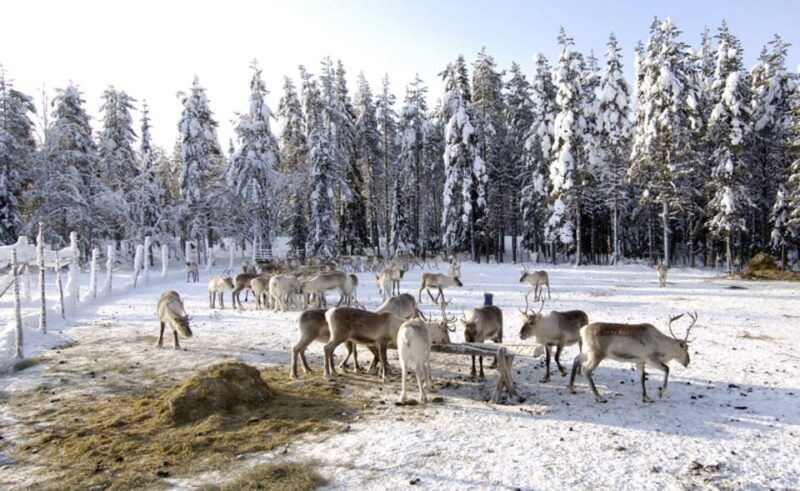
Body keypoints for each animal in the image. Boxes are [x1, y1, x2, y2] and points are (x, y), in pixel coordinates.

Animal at [569, 312, 697, 403]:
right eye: (686, 348)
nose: (688, 361)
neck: (662, 345)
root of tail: (582, 330)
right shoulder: (651, 358)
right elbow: (667, 369)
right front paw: (660, 392)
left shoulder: (639, 361)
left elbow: (642, 378)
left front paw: (646, 397)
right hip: (596, 354)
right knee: (586, 370)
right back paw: (599, 397)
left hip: (586, 352)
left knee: (576, 360)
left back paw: (572, 387)